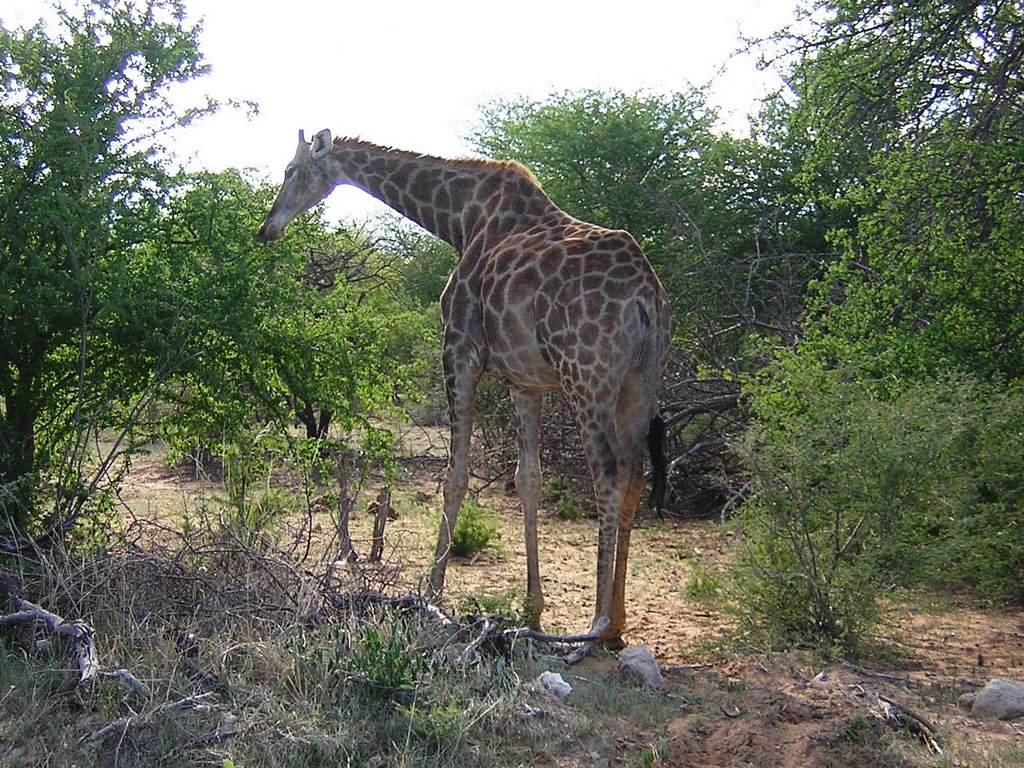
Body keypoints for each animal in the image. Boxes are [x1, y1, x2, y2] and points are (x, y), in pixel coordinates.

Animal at [258, 128, 671, 643]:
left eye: (291, 170)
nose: (267, 228)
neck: (459, 218)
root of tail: (645, 298)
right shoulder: (525, 380)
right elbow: (528, 480)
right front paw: (532, 609)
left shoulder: (459, 350)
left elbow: (454, 475)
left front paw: (433, 592)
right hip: (640, 384)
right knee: (635, 476)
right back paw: (617, 622)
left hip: (587, 378)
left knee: (608, 478)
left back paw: (596, 623)